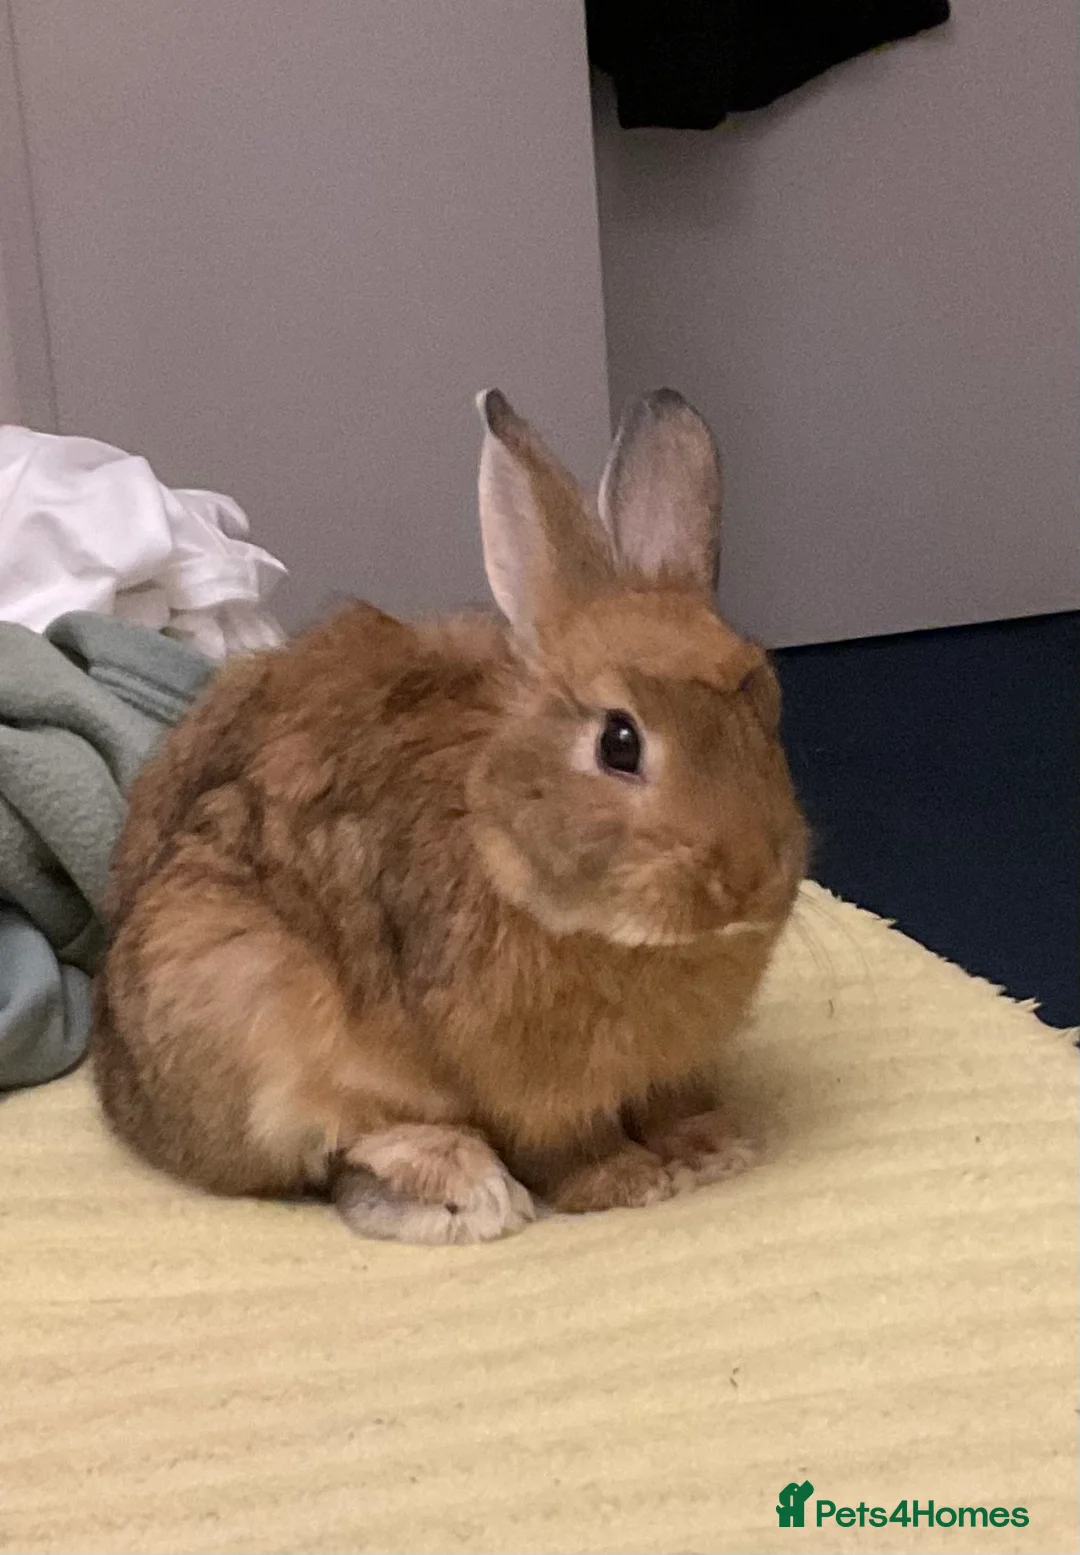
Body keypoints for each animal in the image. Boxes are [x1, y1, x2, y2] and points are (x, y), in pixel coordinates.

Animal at [92, 387, 808, 1244]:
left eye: (769, 705)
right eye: (620, 741)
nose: (748, 878)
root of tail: (121, 1087)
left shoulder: (672, 1068)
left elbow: (676, 1103)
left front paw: (713, 1149)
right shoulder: (533, 1086)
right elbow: (569, 1141)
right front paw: (629, 1182)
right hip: (240, 996)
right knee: (338, 1146)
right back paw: (465, 1191)